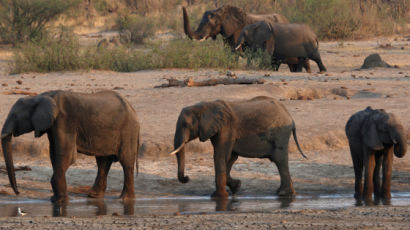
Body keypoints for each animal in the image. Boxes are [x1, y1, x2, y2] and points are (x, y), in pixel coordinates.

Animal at [0, 90, 140, 203]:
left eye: (15, 116)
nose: (18, 192)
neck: (41, 96)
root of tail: (132, 109)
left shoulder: (64, 121)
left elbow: (66, 155)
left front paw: (59, 201)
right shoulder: (53, 125)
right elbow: (54, 154)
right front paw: (56, 199)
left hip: (128, 131)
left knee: (126, 161)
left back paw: (125, 199)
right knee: (103, 161)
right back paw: (93, 196)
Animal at [168, 96, 306, 199]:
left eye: (185, 124)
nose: (187, 178)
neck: (205, 105)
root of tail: (290, 117)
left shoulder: (226, 129)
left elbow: (220, 156)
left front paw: (218, 197)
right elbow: (230, 157)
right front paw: (237, 187)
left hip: (281, 133)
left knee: (279, 159)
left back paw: (283, 194)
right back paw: (285, 193)